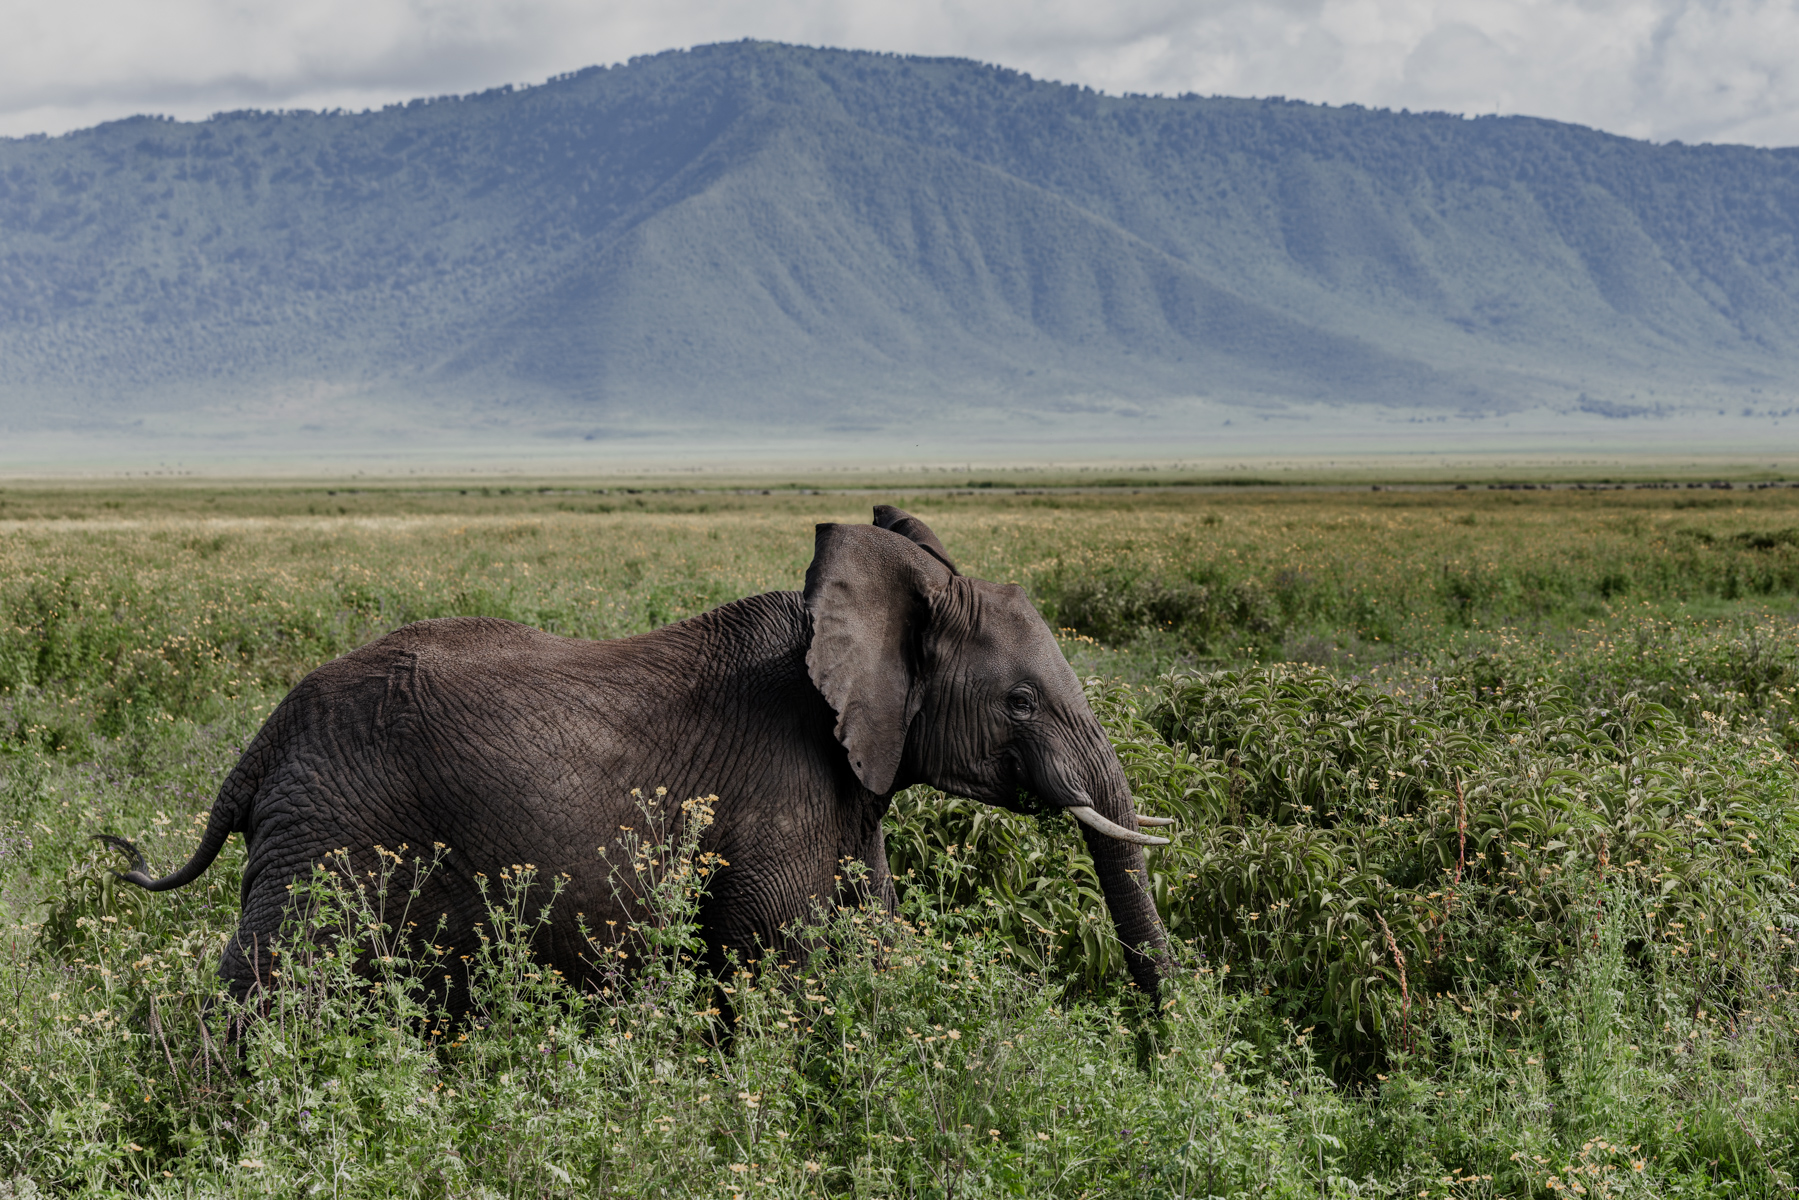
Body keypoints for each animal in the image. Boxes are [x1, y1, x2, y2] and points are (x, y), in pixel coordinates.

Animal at [100, 506, 1173, 1006]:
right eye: (1021, 702)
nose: (1157, 1049)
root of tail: (264, 740)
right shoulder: (784, 784)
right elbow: (781, 960)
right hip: (328, 835)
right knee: (272, 986)